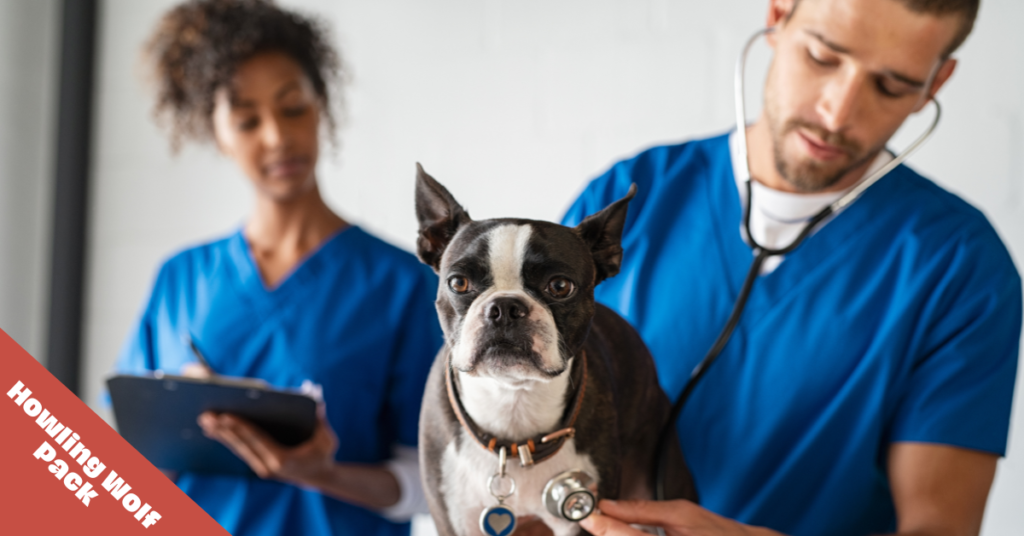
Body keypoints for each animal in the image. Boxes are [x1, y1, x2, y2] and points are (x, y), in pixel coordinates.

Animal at [413, 165, 696, 536]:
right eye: (458, 283)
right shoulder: (454, 519)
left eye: (560, 286)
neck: (512, 402)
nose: (505, 308)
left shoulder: (580, 513)